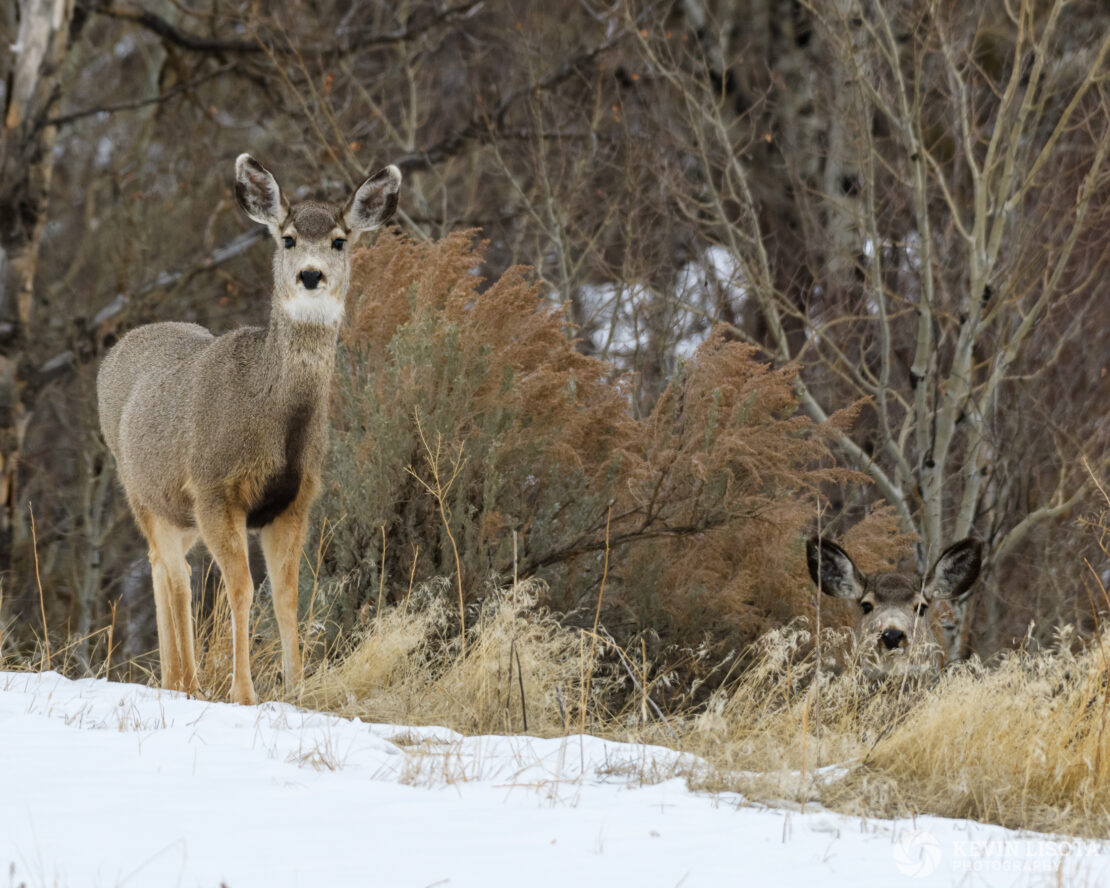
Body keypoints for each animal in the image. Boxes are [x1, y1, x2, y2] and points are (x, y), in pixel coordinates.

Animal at [98, 154, 404, 705]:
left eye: (339, 240)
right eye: (287, 238)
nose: (310, 275)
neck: (275, 420)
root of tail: (119, 348)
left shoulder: (295, 501)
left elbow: (287, 596)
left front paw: (297, 687)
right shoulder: (216, 489)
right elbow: (240, 589)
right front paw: (244, 693)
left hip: (176, 509)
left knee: (164, 567)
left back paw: (178, 678)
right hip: (142, 491)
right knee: (175, 574)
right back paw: (189, 681)